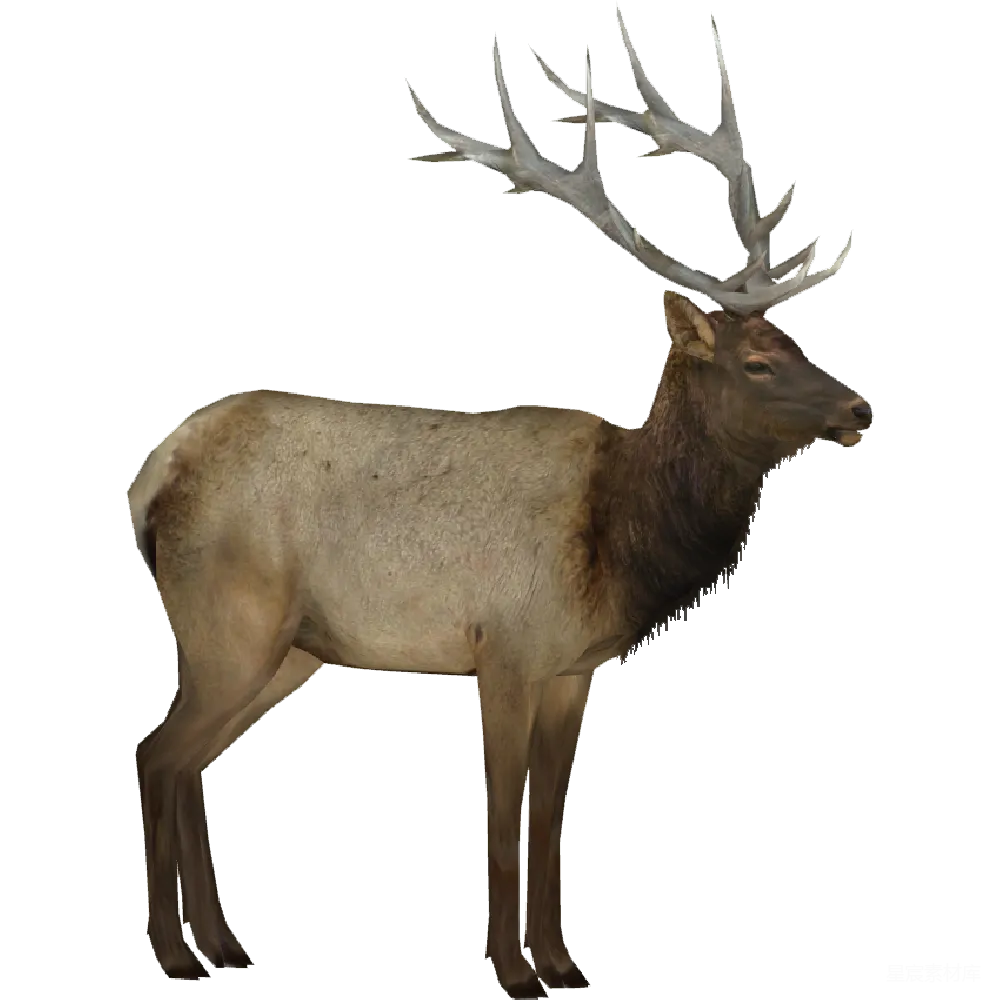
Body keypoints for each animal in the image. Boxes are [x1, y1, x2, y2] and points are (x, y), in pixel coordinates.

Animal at [129, 6, 871, 996]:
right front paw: (515, 972)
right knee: (158, 754)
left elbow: (552, 814)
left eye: (795, 340)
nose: (860, 407)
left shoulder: (571, 670)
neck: (620, 542)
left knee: (188, 762)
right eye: (756, 362)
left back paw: (224, 945)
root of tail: (153, 473)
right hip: (227, 627)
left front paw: (565, 964)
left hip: (287, 651)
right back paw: (178, 953)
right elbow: (504, 809)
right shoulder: (505, 651)